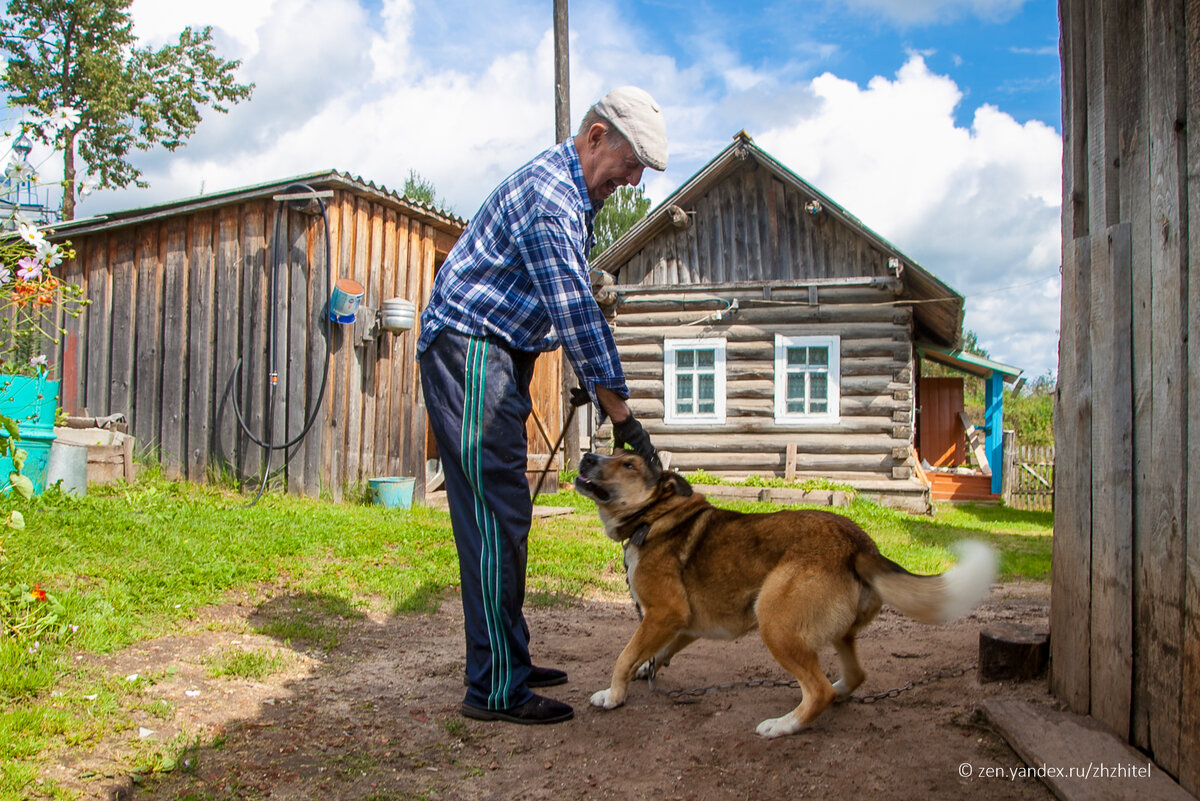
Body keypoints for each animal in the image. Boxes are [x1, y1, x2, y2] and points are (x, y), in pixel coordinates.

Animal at [571, 450, 993, 738]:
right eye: (614, 453)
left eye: (629, 465)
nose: (588, 456)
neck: (654, 517)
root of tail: (859, 545)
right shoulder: (683, 624)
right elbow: (657, 651)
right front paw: (648, 669)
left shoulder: (665, 612)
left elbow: (624, 656)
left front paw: (613, 695)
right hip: (837, 634)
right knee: (853, 676)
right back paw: (835, 694)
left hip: (775, 623)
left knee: (817, 691)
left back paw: (783, 725)